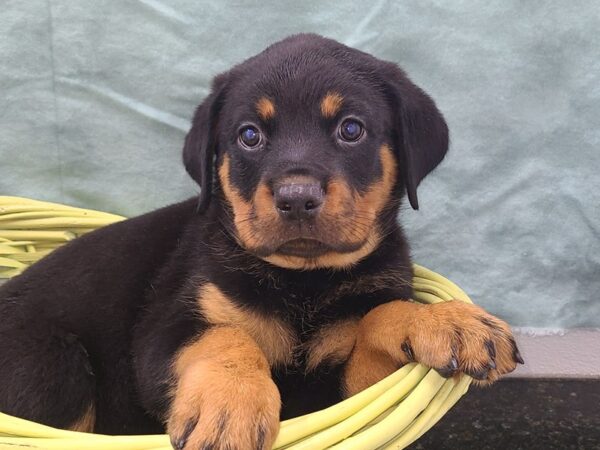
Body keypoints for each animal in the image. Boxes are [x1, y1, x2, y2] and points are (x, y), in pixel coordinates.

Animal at [0, 35, 520, 450]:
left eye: (351, 129)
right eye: (249, 135)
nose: (296, 198)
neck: (304, 282)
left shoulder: (342, 391)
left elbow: (380, 315)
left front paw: (448, 321)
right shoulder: (159, 338)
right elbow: (223, 335)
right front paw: (230, 408)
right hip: (55, 363)